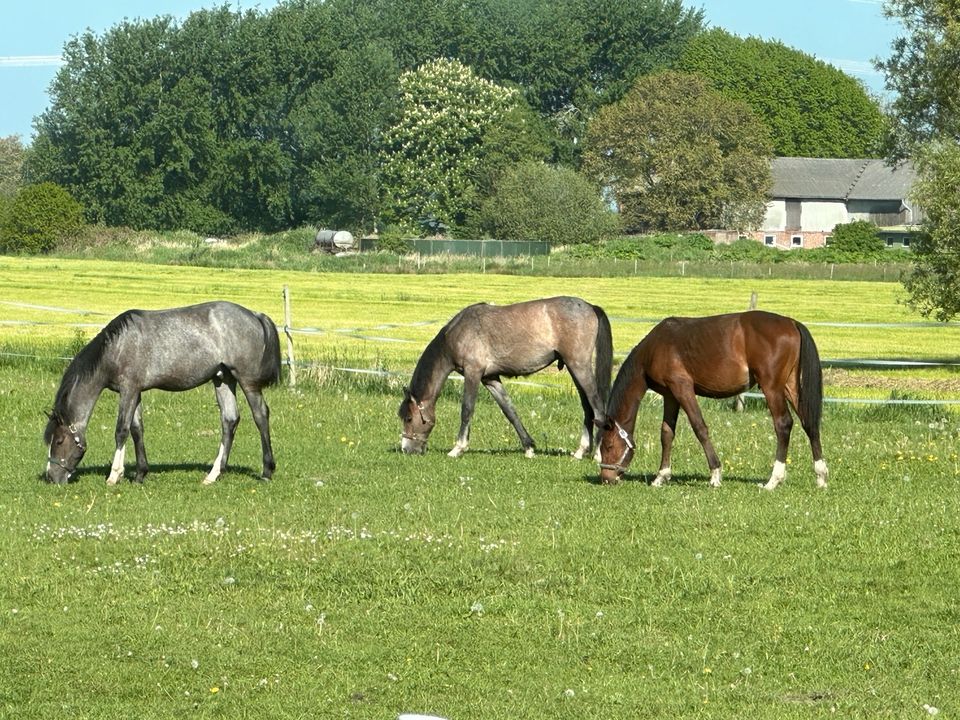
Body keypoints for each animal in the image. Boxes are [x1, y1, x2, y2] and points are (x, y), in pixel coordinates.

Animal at [44, 300, 282, 486]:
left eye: (59, 441)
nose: (51, 477)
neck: (117, 347)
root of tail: (255, 315)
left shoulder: (128, 390)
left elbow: (121, 430)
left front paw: (114, 475)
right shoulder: (136, 391)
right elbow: (136, 430)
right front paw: (140, 474)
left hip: (247, 382)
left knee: (260, 416)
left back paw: (267, 471)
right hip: (223, 379)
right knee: (230, 420)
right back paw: (213, 474)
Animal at [400, 296, 612, 458]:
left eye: (409, 418)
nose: (406, 449)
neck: (459, 331)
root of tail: (590, 307)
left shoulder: (473, 373)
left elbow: (467, 409)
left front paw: (458, 448)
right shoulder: (490, 379)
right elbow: (510, 411)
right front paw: (528, 448)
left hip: (579, 367)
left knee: (598, 407)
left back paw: (598, 454)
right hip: (573, 368)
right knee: (587, 408)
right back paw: (580, 451)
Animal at [596, 310, 828, 490]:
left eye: (608, 446)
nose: (606, 478)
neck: (655, 348)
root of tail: (791, 322)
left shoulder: (682, 389)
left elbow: (700, 428)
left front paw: (715, 475)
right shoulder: (670, 395)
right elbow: (666, 433)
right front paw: (661, 476)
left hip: (772, 388)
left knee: (783, 424)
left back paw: (773, 480)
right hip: (789, 386)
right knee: (809, 423)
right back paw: (821, 476)